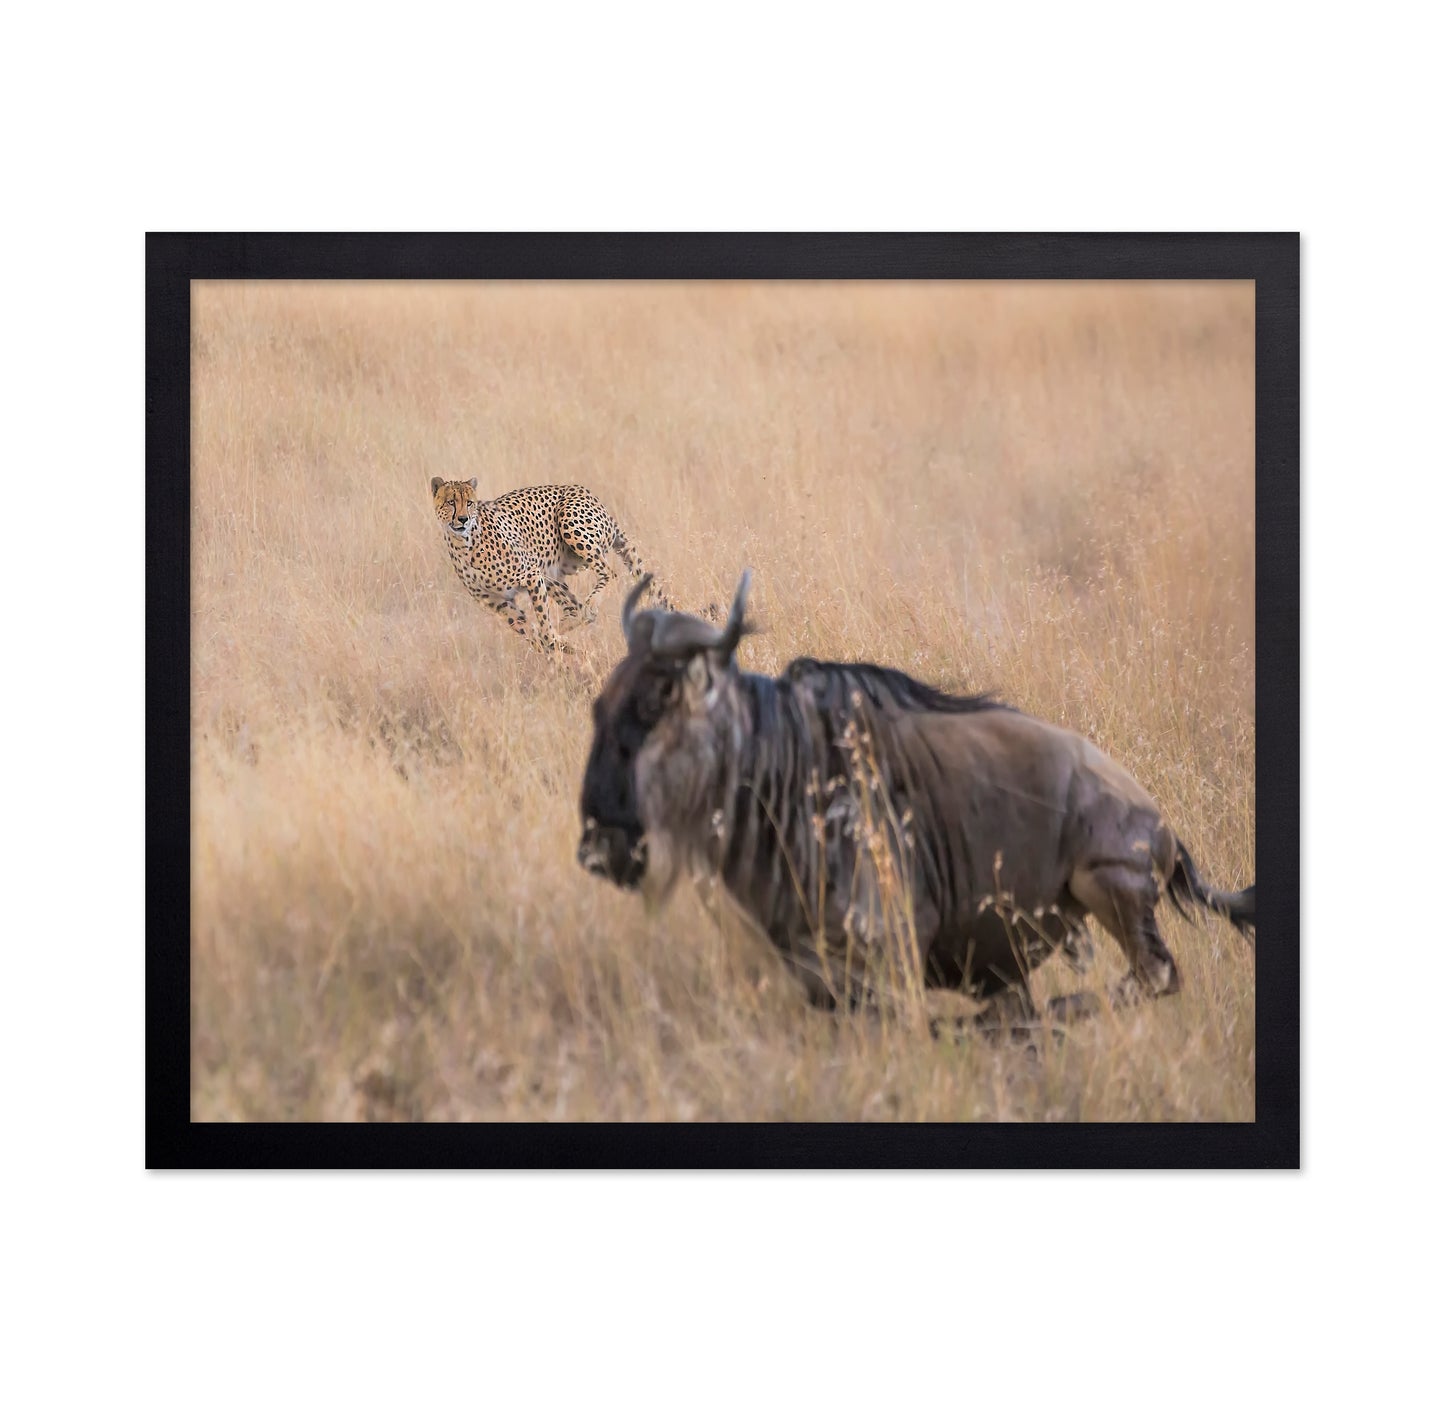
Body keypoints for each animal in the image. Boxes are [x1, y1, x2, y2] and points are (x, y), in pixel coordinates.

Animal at [430, 477, 684, 655]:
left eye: (470, 503)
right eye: (451, 502)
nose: (463, 519)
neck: (464, 543)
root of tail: (585, 492)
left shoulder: (531, 575)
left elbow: (543, 625)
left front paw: (555, 644)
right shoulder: (498, 602)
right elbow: (531, 632)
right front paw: (557, 651)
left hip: (569, 522)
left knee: (607, 574)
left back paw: (588, 608)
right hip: (551, 573)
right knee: (575, 609)